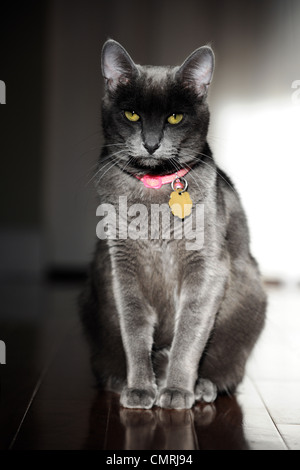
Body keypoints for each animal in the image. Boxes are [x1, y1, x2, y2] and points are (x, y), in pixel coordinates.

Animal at [78, 39, 266, 408]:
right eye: (132, 114)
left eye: (175, 117)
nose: (151, 143)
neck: (154, 191)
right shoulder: (122, 265)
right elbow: (134, 328)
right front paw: (140, 388)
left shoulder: (206, 266)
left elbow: (190, 332)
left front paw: (178, 390)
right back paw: (119, 380)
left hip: (251, 296)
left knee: (228, 369)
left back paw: (203, 386)